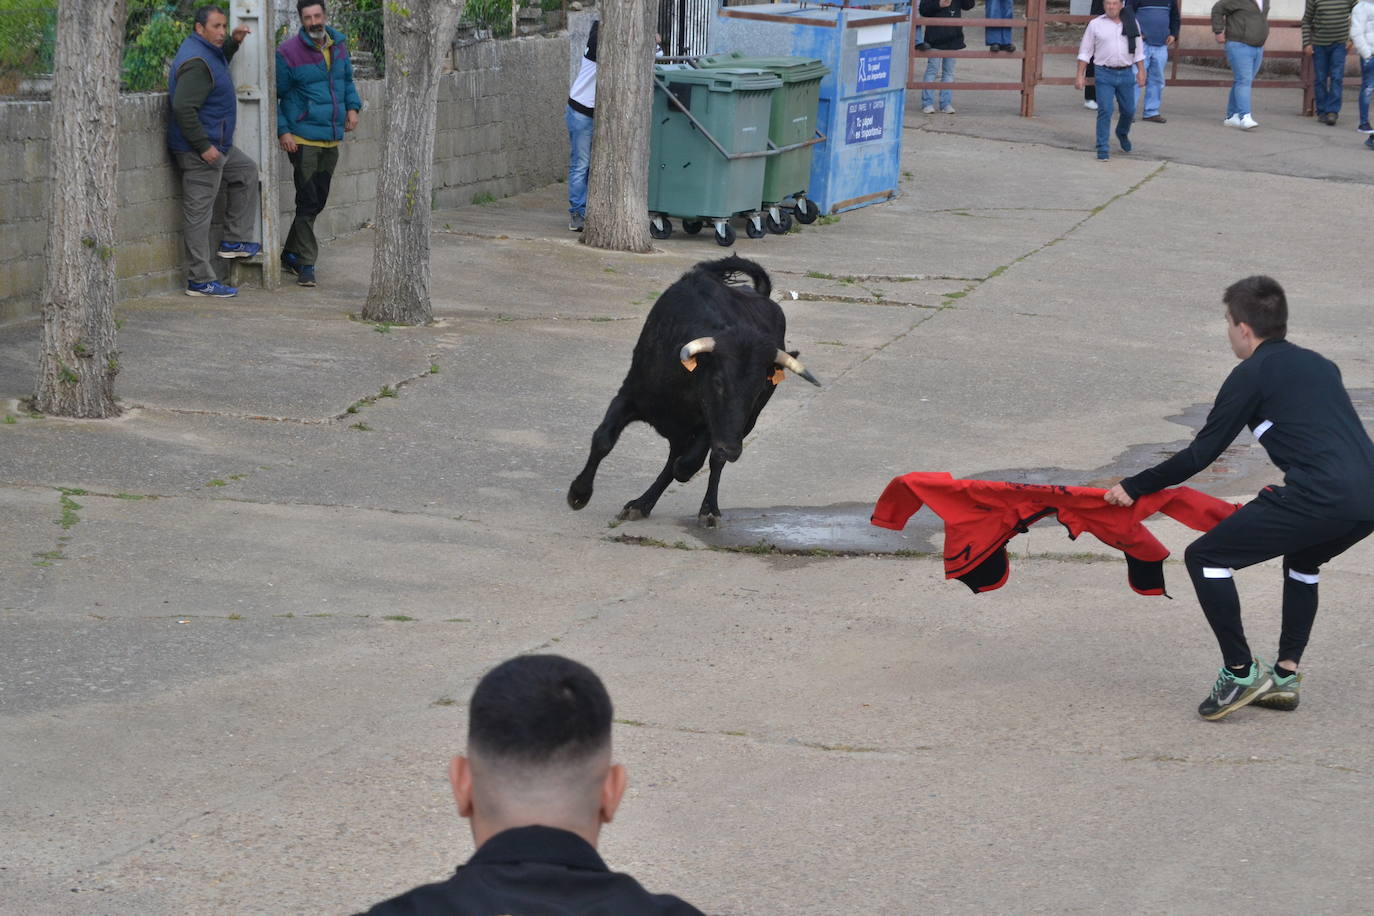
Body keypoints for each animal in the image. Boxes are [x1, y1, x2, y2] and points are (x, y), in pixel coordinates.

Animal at [566, 254, 813, 527]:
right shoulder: (629, 395)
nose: (732, 449)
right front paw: (578, 494)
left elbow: (689, 463)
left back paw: (705, 509)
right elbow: (603, 439)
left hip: (746, 423)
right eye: (718, 381)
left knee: (707, 462)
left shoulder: (710, 425)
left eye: (759, 387)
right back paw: (642, 504)